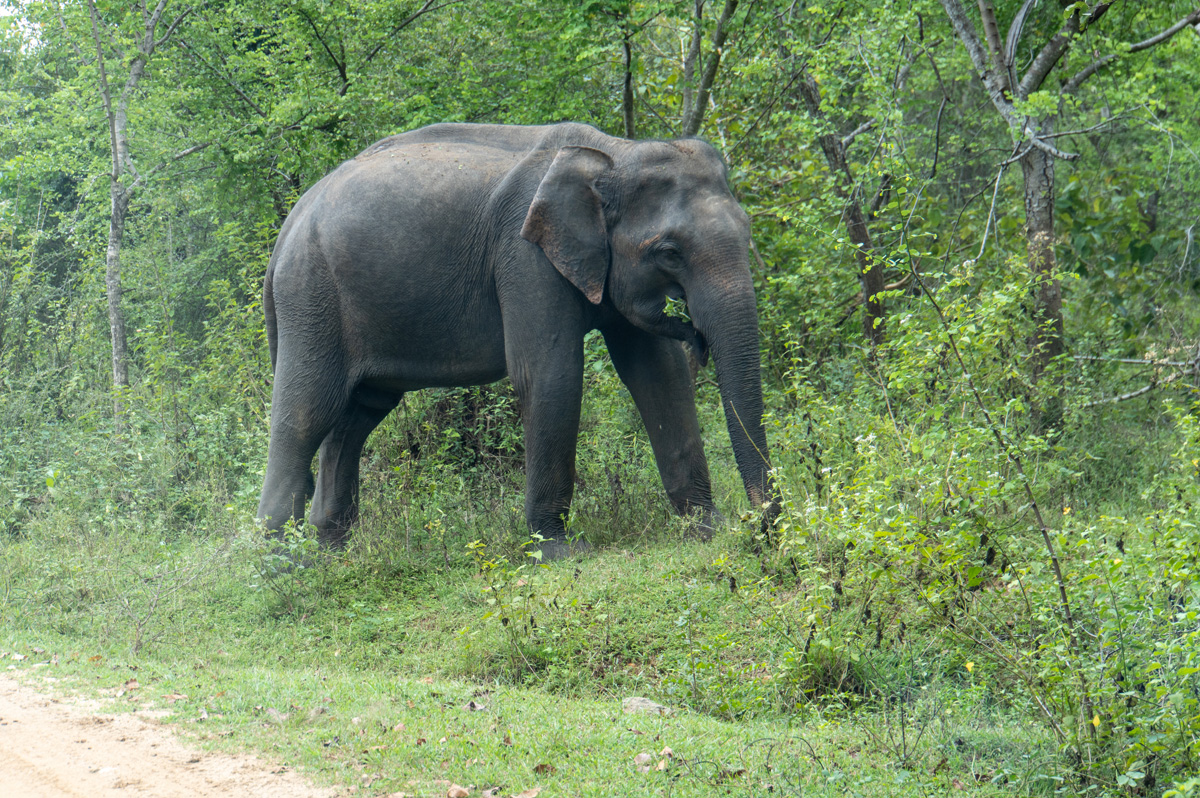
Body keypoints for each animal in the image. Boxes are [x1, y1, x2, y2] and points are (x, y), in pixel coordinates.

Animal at [257, 122, 778, 558]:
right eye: (669, 252)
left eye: (749, 229)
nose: (760, 531)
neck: (612, 153)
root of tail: (286, 230)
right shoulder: (525, 257)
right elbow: (550, 377)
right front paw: (561, 551)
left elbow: (660, 375)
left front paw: (706, 528)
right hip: (311, 295)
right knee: (306, 413)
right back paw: (283, 568)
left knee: (358, 414)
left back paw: (333, 555)